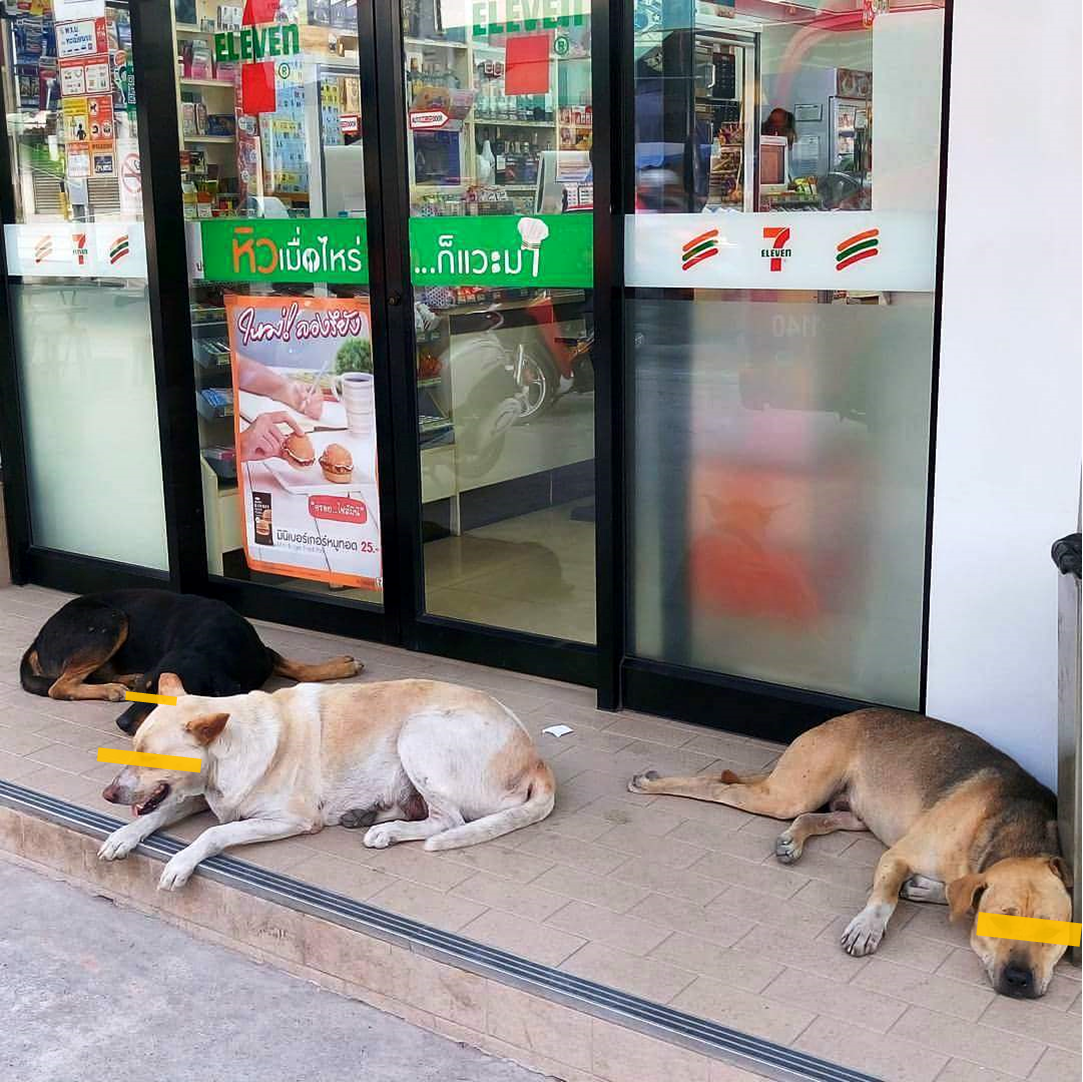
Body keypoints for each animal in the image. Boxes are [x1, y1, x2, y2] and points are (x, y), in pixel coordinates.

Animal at [21, 593, 361, 736]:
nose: (122, 724)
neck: (212, 645)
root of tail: (38, 638)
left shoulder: (262, 654)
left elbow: (296, 667)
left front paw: (339, 667)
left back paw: (123, 680)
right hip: (110, 619)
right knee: (58, 686)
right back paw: (112, 689)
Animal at [97, 671, 554, 892]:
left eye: (149, 756)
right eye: (132, 746)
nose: (109, 793)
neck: (230, 747)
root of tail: (537, 760)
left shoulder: (288, 819)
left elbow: (213, 833)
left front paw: (180, 862)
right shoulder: (200, 795)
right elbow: (158, 813)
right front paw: (123, 835)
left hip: (418, 731)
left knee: (449, 821)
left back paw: (386, 830)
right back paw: (368, 815)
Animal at [628, 710, 1074, 996]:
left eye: (1055, 931)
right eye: (1000, 920)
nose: (1019, 981)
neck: (1014, 830)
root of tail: (844, 715)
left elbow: (951, 893)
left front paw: (925, 889)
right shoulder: (897, 855)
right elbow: (885, 895)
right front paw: (867, 927)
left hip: (852, 813)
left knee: (811, 817)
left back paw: (793, 840)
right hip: (791, 791)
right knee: (721, 788)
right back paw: (654, 785)